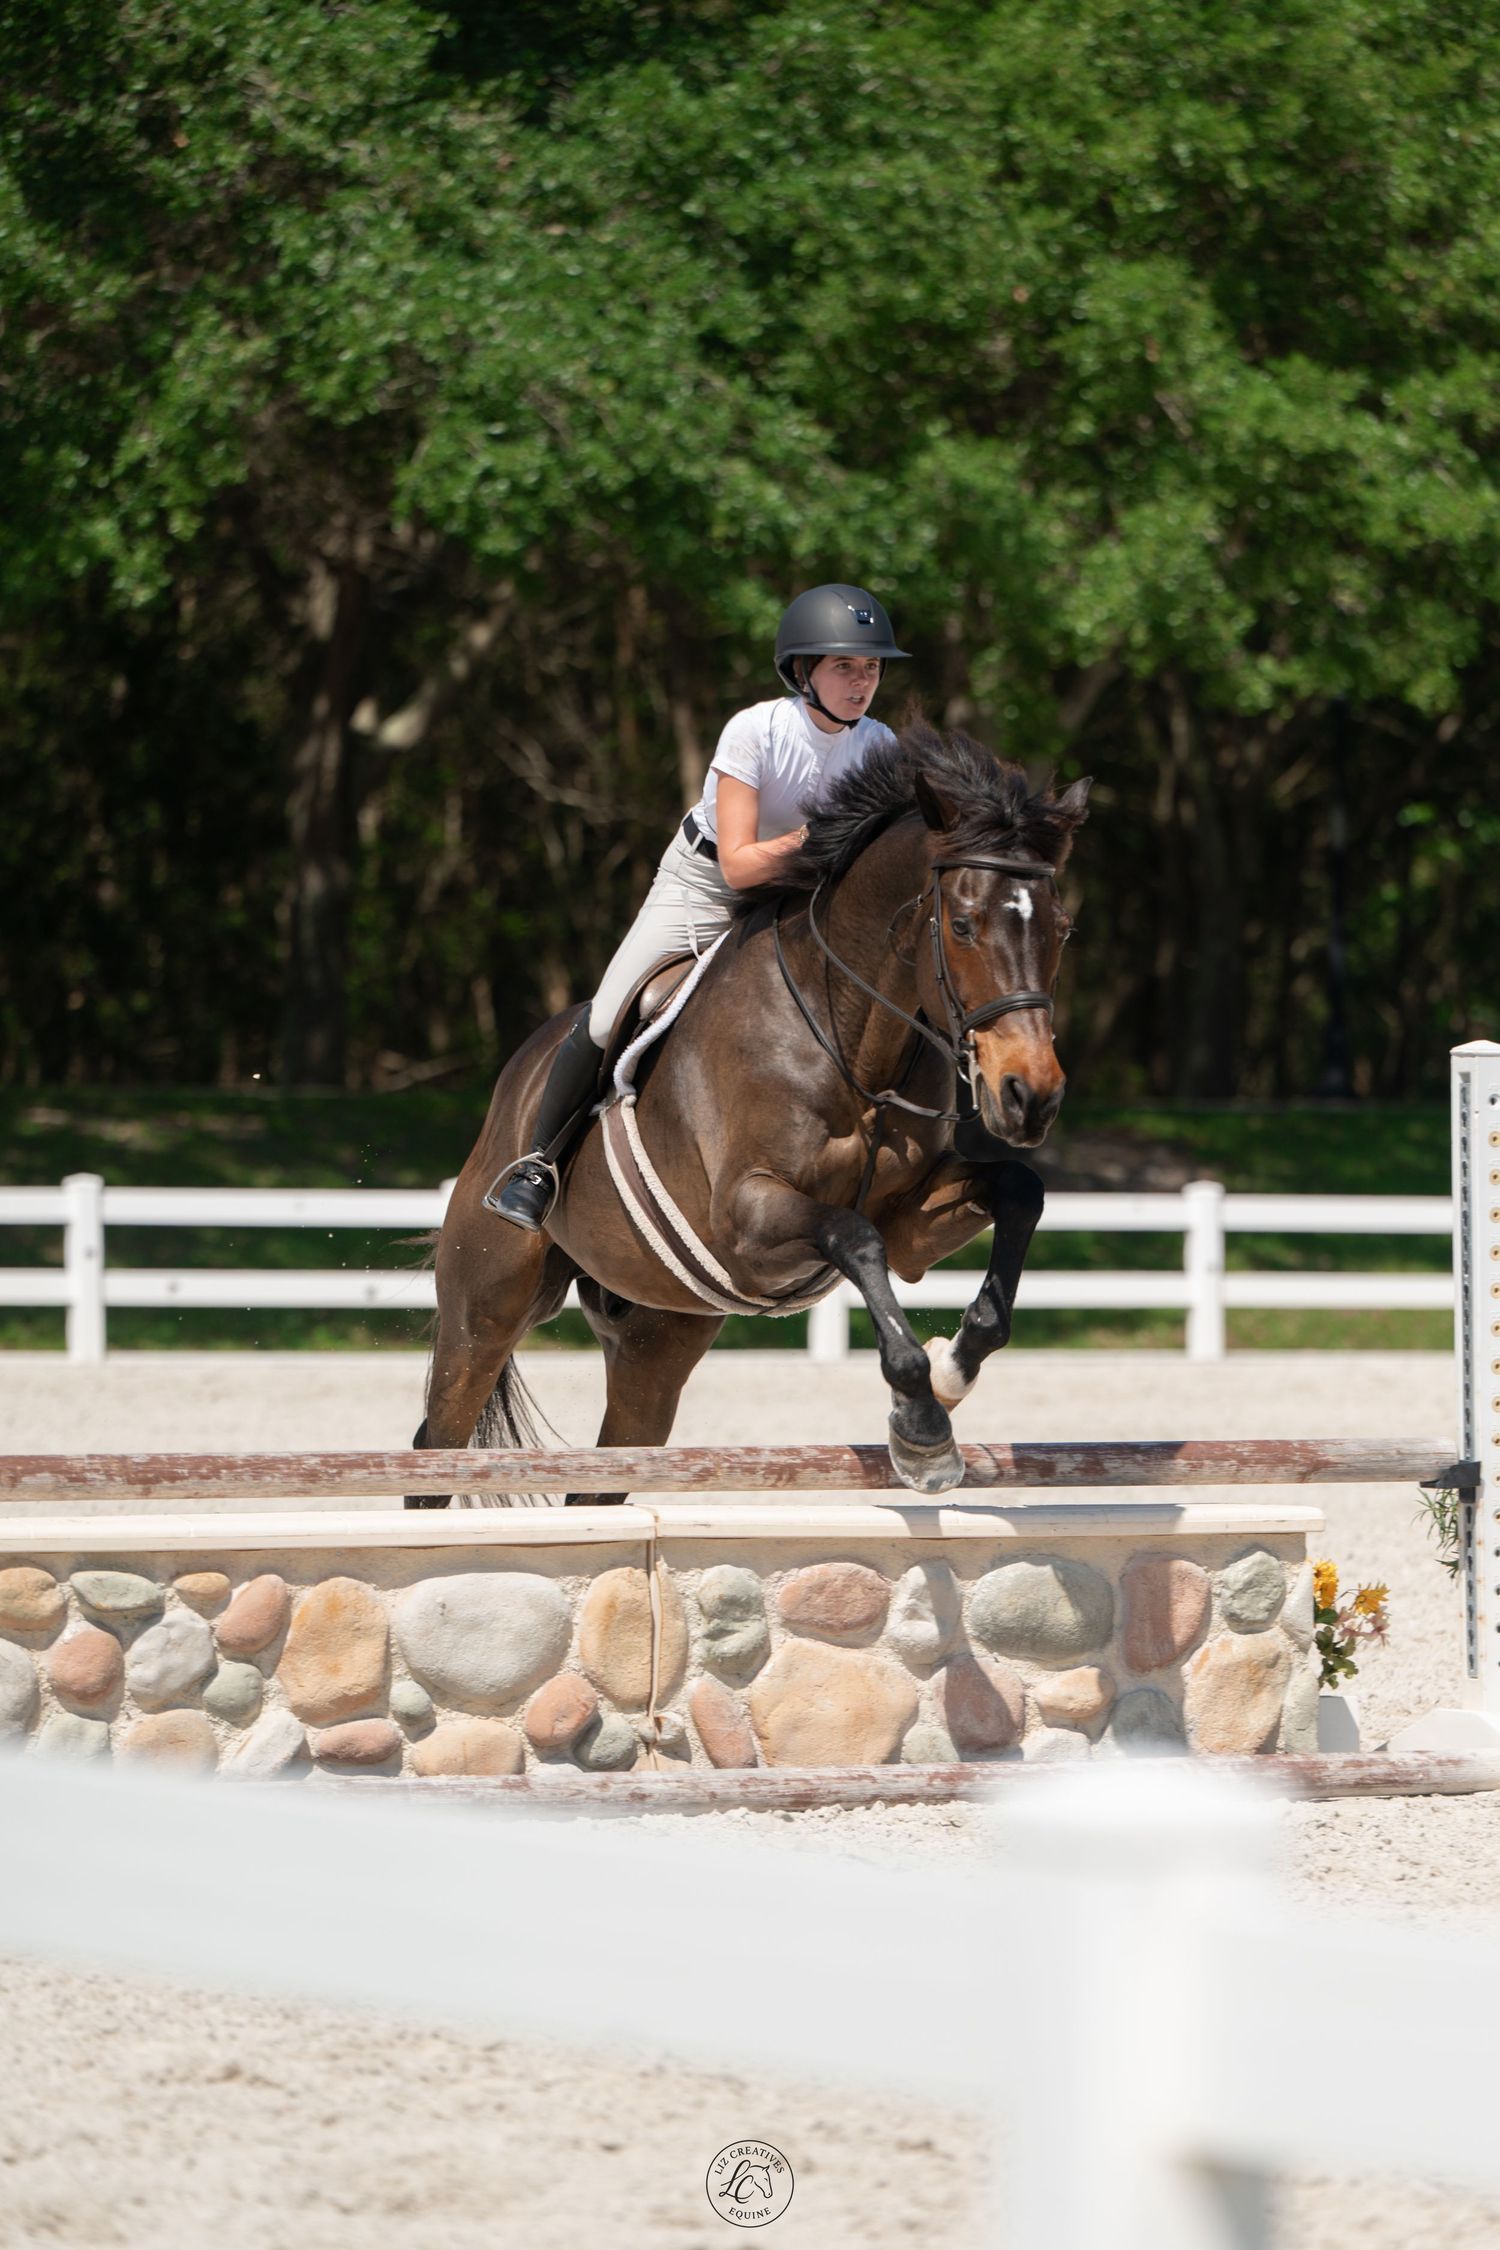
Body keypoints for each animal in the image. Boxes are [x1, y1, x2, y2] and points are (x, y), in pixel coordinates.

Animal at [408, 720, 1089, 1505]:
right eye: (965, 925)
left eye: (1062, 929)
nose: (1030, 1096)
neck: (851, 1037)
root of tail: (512, 1088)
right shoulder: (745, 1218)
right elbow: (854, 1237)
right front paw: (921, 1427)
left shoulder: (911, 1225)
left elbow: (1019, 1191)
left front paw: (953, 1369)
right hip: (484, 1308)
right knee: (438, 1443)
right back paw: (524, 1188)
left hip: (659, 1341)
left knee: (608, 1467)